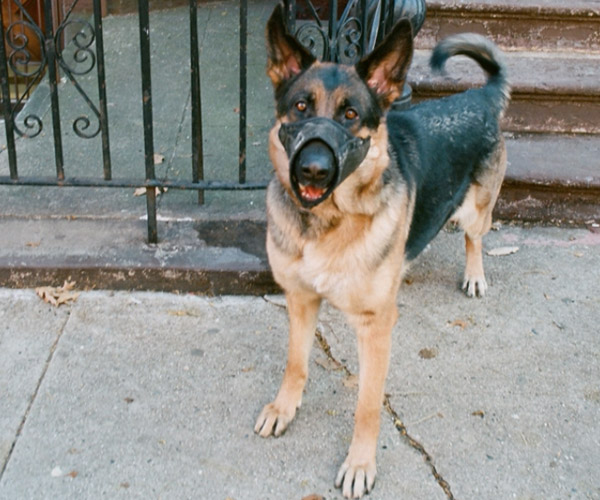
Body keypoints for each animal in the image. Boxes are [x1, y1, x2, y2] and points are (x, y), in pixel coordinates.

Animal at [254, 4, 509, 498]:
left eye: (351, 114)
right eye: (300, 107)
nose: (312, 169)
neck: (328, 223)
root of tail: (480, 96)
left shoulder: (375, 328)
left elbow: (368, 404)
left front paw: (360, 463)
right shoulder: (300, 300)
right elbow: (295, 363)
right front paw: (284, 407)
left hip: (478, 211)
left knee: (474, 236)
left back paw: (474, 273)